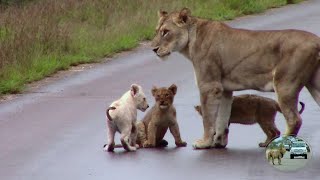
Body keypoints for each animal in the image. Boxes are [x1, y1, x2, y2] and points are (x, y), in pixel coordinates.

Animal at [151, 8, 320, 149]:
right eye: (157, 31)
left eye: (166, 32)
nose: (153, 49)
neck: (191, 40)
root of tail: (316, 40)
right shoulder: (224, 90)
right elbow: (222, 118)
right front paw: (218, 142)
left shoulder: (209, 85)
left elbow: (208, 118)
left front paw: (204, 143)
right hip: (314, 85)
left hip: (285, 84)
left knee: (294, 119)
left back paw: (279, 145)